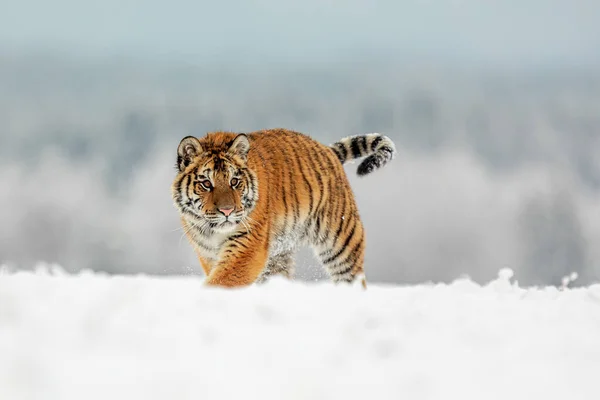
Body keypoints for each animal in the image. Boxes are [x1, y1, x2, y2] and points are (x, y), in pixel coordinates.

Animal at [171, 128, 396, 288]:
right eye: (206, 184)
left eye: (234, 182)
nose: (227, 211)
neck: (214, 232)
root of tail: (326, 149)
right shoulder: (208, 253)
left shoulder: (247, 246)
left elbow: (221, 280)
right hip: (279, 256)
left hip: (341, 242)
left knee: (353, 278)